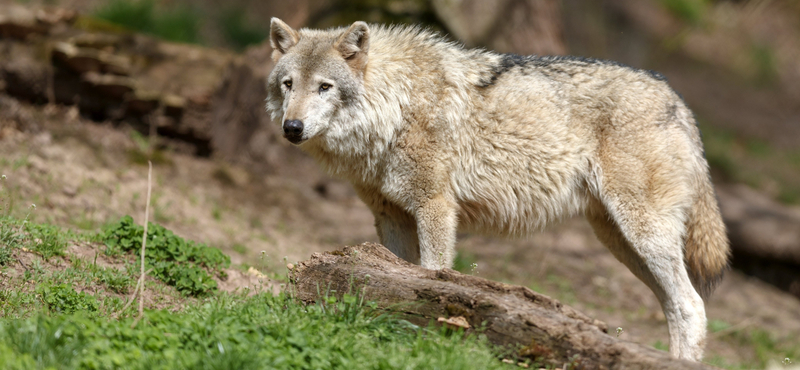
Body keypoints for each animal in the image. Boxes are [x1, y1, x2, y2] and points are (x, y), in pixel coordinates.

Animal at [266, 18, 728, 362]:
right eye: (288, 84)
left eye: (325, 87)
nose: (292, 128)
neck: (395, 106)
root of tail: (677, 99)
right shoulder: (391, 217)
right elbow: (397, 279)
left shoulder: (435, 207)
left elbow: (433, 277)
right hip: (621, 242)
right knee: (676, 306)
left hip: (643, 233)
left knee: (691, 306)